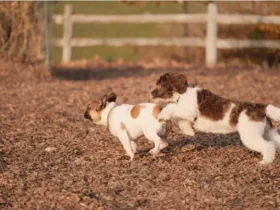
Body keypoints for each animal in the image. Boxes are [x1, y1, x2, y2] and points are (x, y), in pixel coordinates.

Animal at [151, 73, 280, 163]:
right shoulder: (186, 113)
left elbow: (171, 108)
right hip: (267, 131)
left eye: (160, 85)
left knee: (268, 146)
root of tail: (261, 108)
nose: (150, 93)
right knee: (275, 141)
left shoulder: (187, 110)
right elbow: (180, 120)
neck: (182, 93)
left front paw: (163, 114)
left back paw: (266, 162)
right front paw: (189, 131)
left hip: (250, 135)